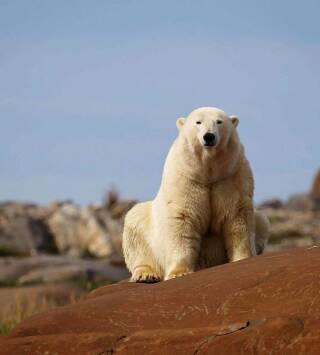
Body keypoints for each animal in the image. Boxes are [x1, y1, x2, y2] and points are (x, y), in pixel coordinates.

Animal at [122, 107, 270, 282]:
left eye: (219, 121)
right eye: (198, 122)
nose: (209, 136)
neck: (207, 173)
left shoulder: (231, 177)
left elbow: (237, 216)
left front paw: (243, 259)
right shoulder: (186, 179)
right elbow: (182, 220)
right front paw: (178, 272)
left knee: (261, 220)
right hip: (145, 231)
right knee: (135, 226)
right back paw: (146, 274)